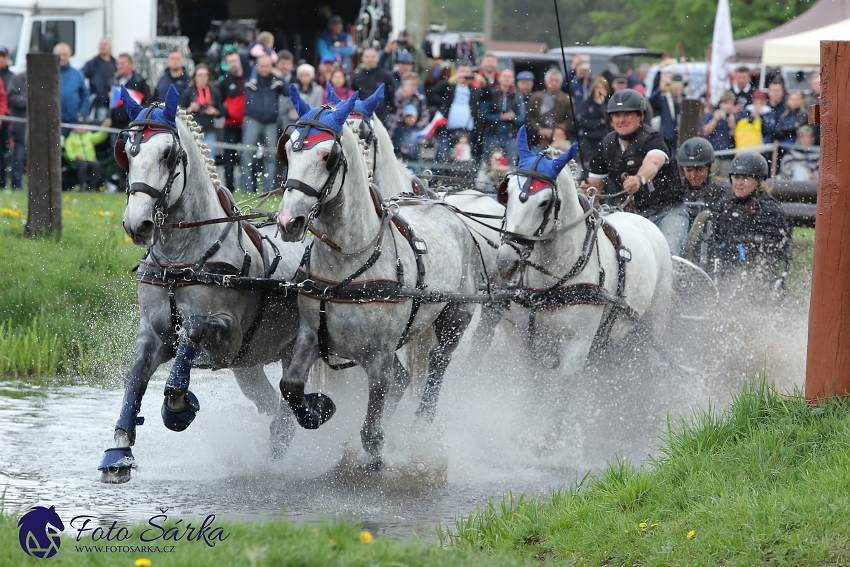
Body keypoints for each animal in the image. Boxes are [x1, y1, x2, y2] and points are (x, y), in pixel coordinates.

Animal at [99, 86, 304, 486]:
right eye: (127, 152)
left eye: (168, 153)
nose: (137, 224)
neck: (179, 261)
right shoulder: (153, 332)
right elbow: (135, 379)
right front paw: (119, 450)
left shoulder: (229, 336)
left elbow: (190, 337)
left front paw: (178, 407)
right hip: (251, 364)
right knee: (270, 404)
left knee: (288, 413)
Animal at [274, 87, 484, 470]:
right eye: (289, 149)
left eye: (327, 155)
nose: (288, 221)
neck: (347, 263)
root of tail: (448, 208)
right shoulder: (310, 334)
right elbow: (291, 385)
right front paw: (316, 411)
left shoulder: (379, 356)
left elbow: (372, 431)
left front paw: (375, 460)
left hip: (455, 319)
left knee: (436, 366)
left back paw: (421, 428)